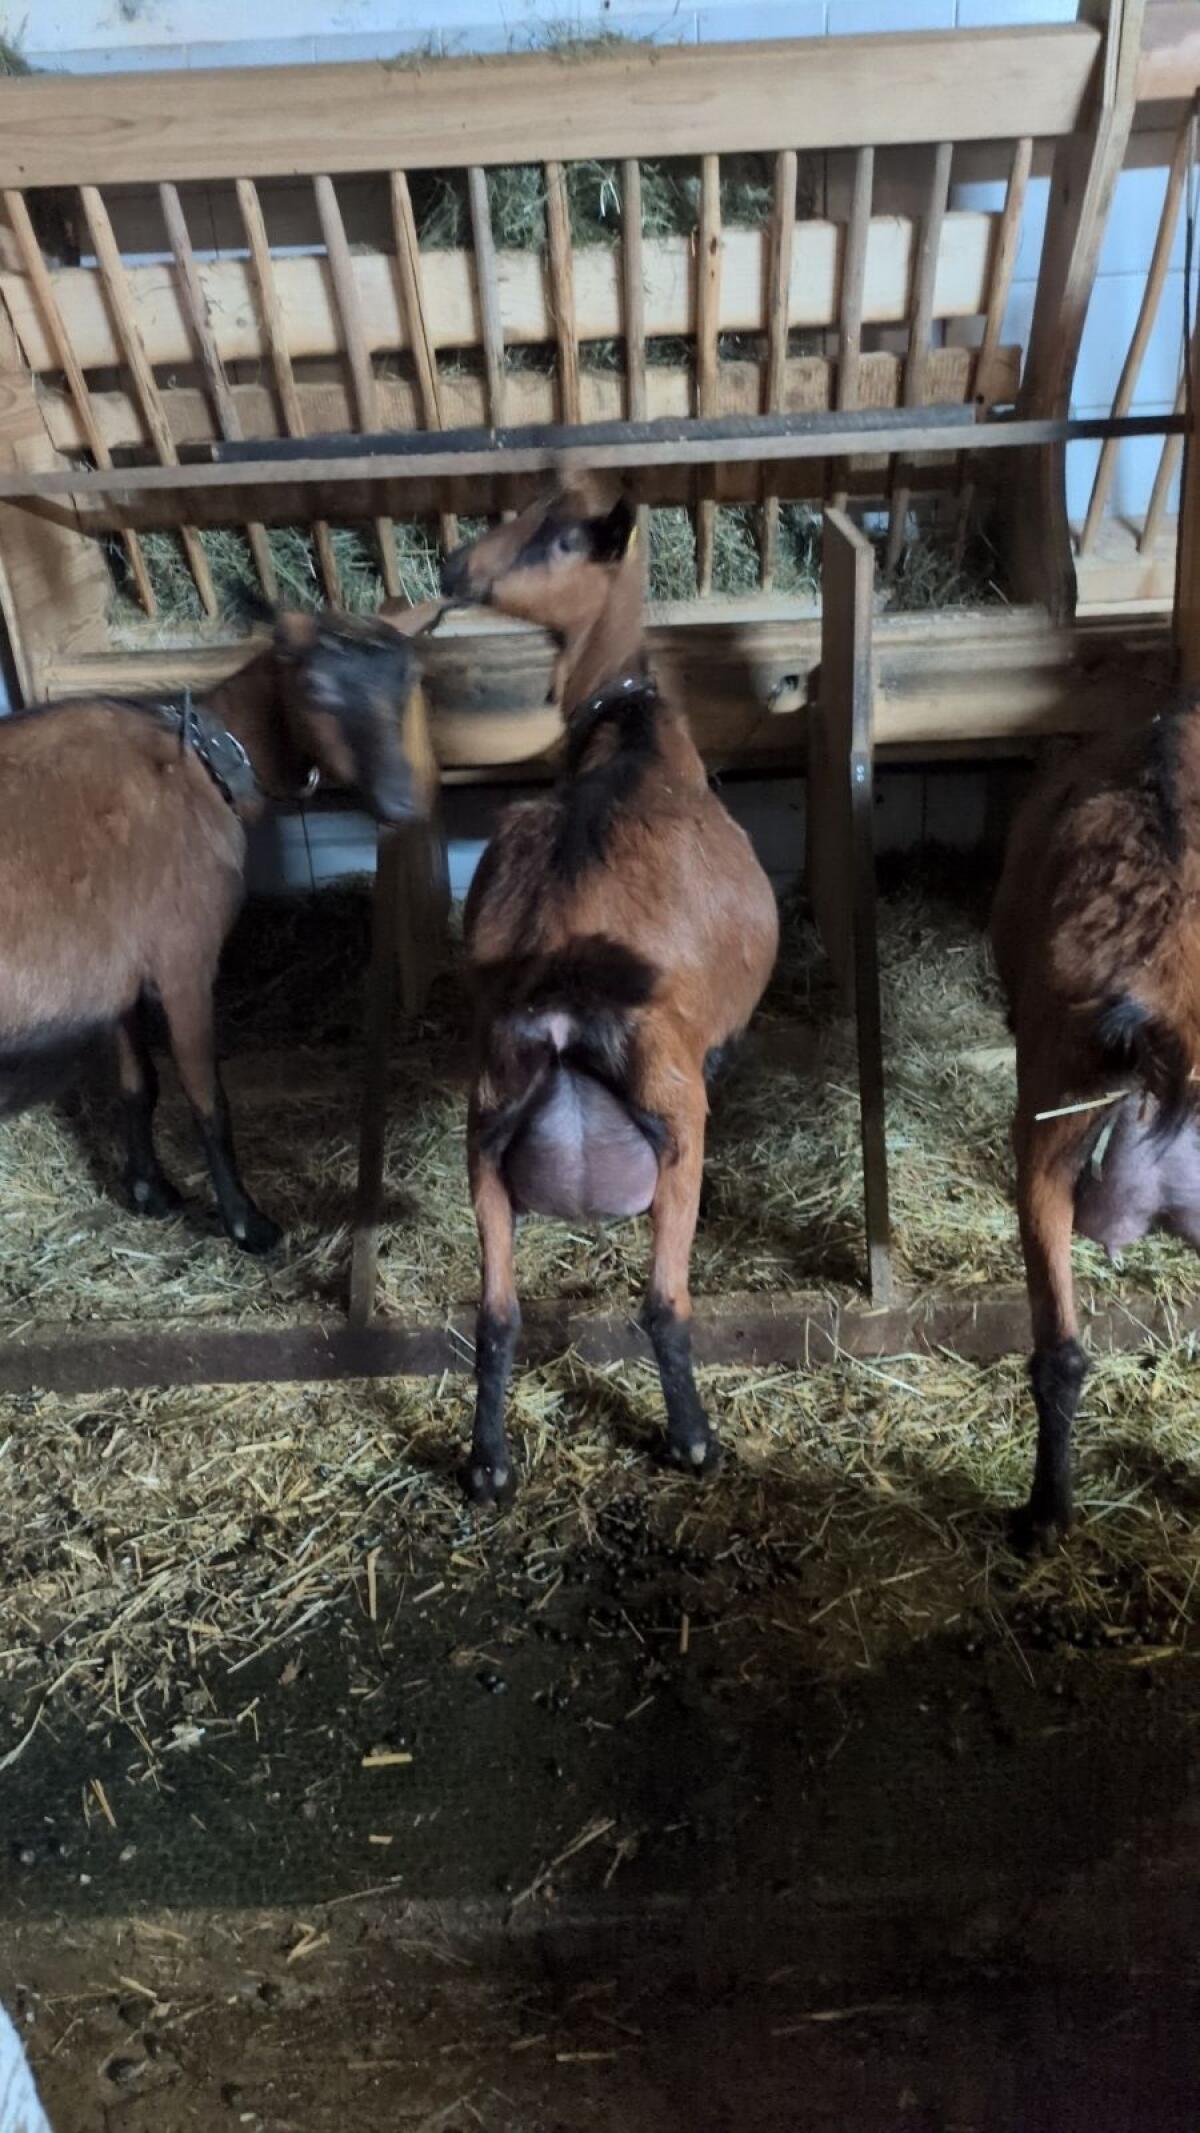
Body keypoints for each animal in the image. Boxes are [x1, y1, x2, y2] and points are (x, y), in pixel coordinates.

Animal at [0, 611, 424, 1252]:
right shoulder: (184, 963)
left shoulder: (121, 965)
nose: (401, 803)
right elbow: (208, 1101)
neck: (203, 766)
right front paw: (248, 1223)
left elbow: (139, 1082)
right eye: (315, 688)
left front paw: (148, 1191)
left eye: (406, 682)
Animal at [440, 476, 779, 1502]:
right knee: (664, 1300)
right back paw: (694, 1441)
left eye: (554, 533)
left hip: (484, 1127)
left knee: (496, 1311)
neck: (630, 732)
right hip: (676, 1122)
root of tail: (562, 992)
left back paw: (489, 1465)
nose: (453, 567)